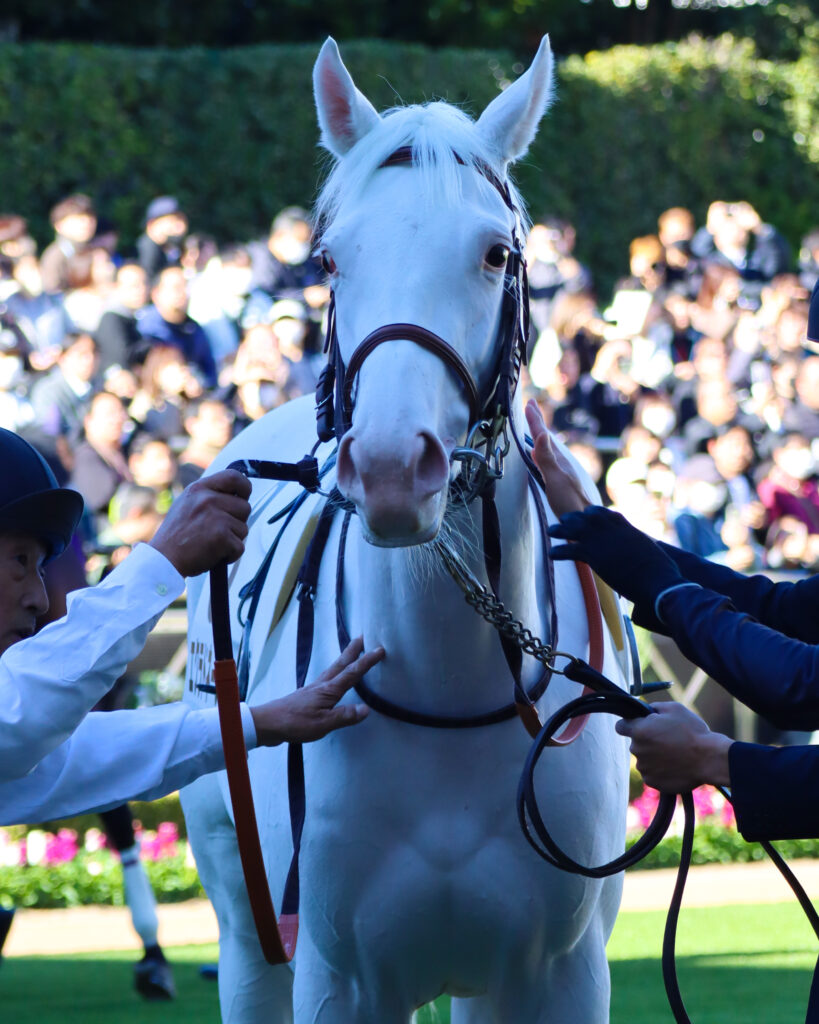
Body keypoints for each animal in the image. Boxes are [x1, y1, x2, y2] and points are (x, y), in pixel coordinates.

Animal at [181, 35, 632, 1023]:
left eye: (497, 254)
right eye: (327, 261)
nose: (391, 466)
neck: (448, 696)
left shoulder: (557, 974)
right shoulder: (338, 975)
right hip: (245, 923)